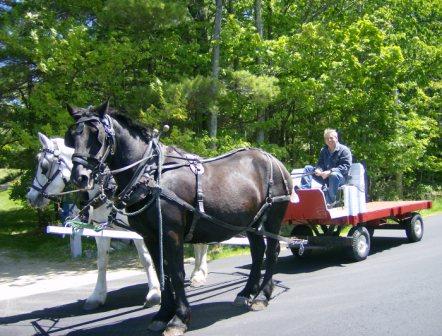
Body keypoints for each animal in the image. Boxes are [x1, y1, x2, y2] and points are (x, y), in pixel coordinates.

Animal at [26, 133, 209, 312]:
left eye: (43, 166)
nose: (31, 197)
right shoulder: (101, 228)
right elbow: (101, 261)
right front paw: (97, 295)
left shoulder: (139, 231)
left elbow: (146, 259)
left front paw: (155, 293)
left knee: (201, 244)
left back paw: (198, 275)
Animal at [64, 102, 294, 336]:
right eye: (71, 137)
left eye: (97, 134)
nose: (80, 177)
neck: (151, 175)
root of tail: (274, 160)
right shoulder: (151, 236)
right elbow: (162, 272)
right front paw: (162, 314)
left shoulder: (171, 233)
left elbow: (175, 273)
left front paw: (179, 319)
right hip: (250, 222)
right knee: (257, 251)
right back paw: (246, 292)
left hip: (273, 217)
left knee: (272, 251)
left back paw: (262, 295)